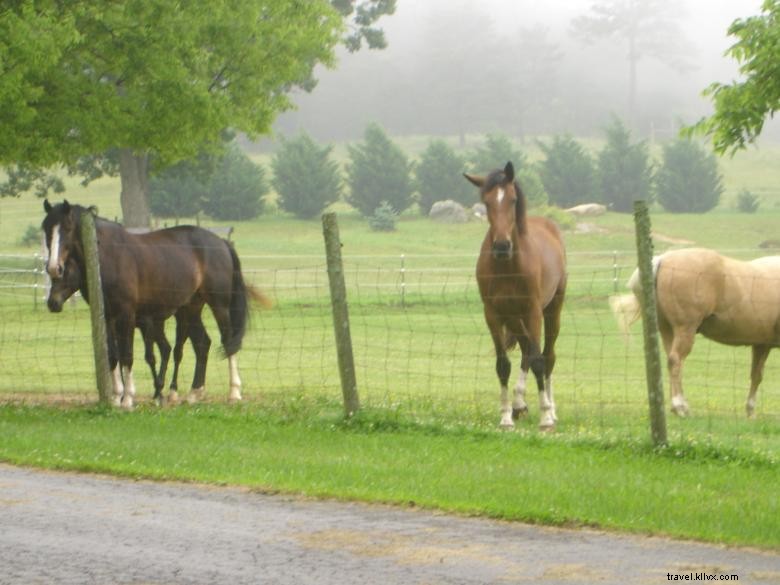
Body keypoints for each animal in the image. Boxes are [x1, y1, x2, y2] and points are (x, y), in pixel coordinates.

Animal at [46, 256, 204, 404]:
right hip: (164, 324)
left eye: (65, 273)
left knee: (177, 350)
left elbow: (149, 357)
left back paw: (172, 391)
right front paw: (123, 396)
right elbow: (119, 357)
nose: (52, 303)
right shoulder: (118, 328)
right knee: (179, 346)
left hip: (182, 318)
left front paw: (156, 394)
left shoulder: (145, 324)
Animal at [464, 162, 568, 430]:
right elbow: (503, 365)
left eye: (512, 200)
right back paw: (519, 404)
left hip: (551, 311)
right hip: (514, 318)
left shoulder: (533, 311)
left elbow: (539, 360)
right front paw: (505, 417)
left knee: (547, 355)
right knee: (525, 351)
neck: (507, 266)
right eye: (487, 202)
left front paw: (545, 417)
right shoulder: (493, 315)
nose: (502, 246)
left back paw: (551, 409)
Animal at [611, 247, 780, 418]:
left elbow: (756, 375)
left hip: (667, 330)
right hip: (685, 329)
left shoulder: (761, 345)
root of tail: (663, 259)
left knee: (674, 362)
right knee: (675, 360)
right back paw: (679, 406)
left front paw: (750, 412)